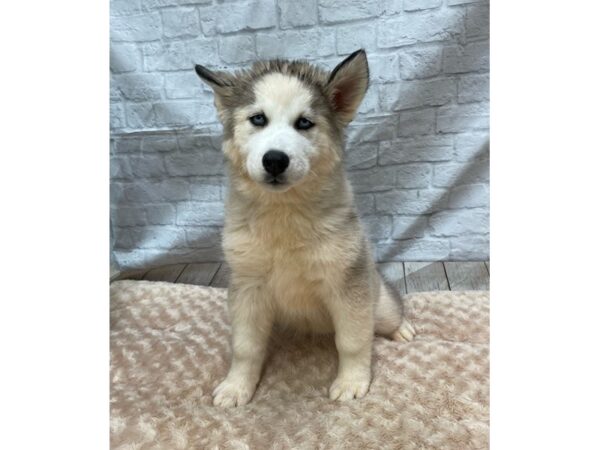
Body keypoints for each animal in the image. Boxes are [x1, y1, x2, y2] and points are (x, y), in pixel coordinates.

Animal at [195, 50, 414, 408]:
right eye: (258, 119)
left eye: (304, 123)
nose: (274, 160)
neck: (284, 214)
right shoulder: (247, 288)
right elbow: (245, 347)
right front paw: (237, 386)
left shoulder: (348, 286)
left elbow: (353, 341)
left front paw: (352, 381)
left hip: (376, 299)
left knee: (387, 316)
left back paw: (402, 329)